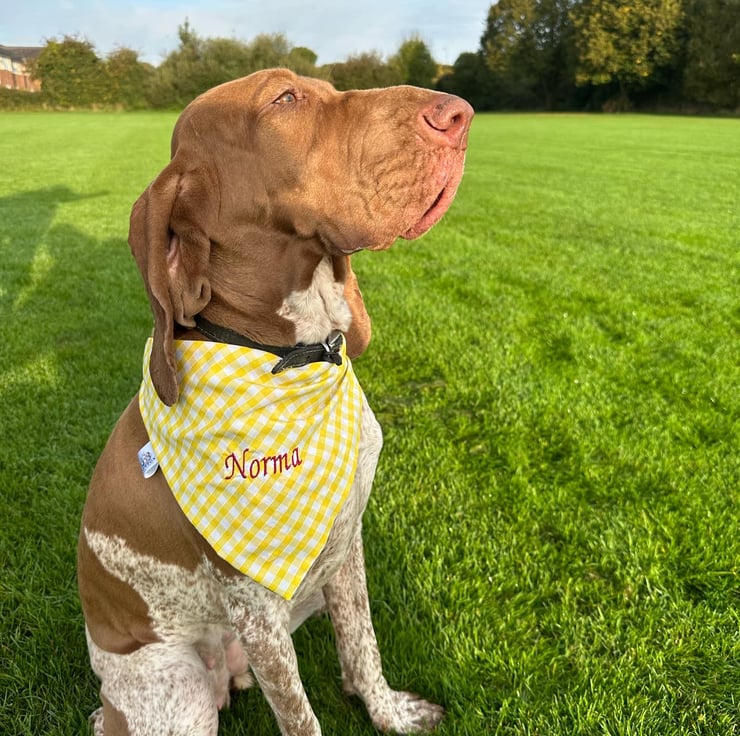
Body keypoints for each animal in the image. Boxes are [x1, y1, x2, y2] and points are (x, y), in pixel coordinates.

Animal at [78, 68, 473, 736]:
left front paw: (390, 713)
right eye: (284, 99)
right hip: (181, 690)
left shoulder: (345, 546)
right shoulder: (257, 613)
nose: (460, 114)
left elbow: (362, 646)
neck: (295, 359)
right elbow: (300, 717)